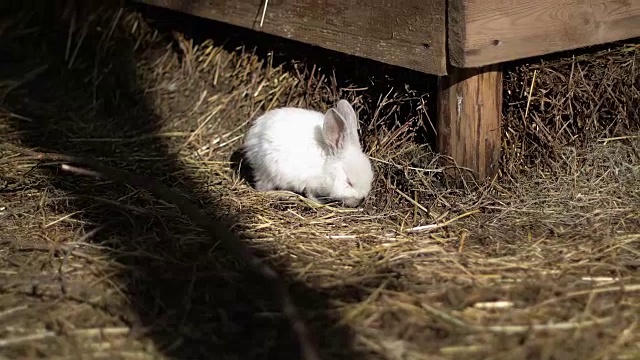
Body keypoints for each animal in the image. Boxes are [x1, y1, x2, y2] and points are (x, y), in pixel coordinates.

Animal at [244, 100, 376, 207]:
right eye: (349, 182)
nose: (359, 201)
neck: (326, 166)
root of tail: (252, 136)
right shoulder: (311, 183)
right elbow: (310, 194)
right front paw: (318, 202)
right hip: (268, 173)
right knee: (262, 187)